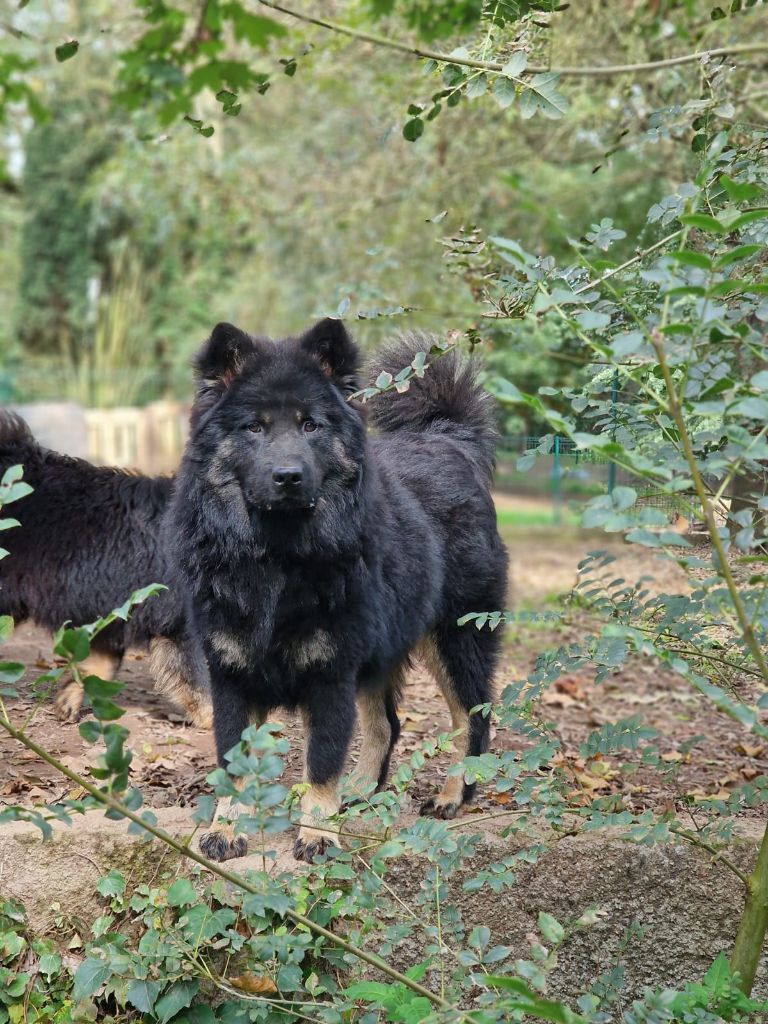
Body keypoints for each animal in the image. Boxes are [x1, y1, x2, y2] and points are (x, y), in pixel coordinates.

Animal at [171, 315, 507, 860]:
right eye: (254, 427)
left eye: (311, 425)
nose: (288, 476)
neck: (278, 559)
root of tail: (450, 438)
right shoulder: (233, 676)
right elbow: (234, 766)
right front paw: (226, 828)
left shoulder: (330, 674)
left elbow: (322, 763)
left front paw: (317, 834)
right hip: (380, 654)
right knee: (386, 725)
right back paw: (362, 792)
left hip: (456, 639)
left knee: (471, 721)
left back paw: (454, 795)